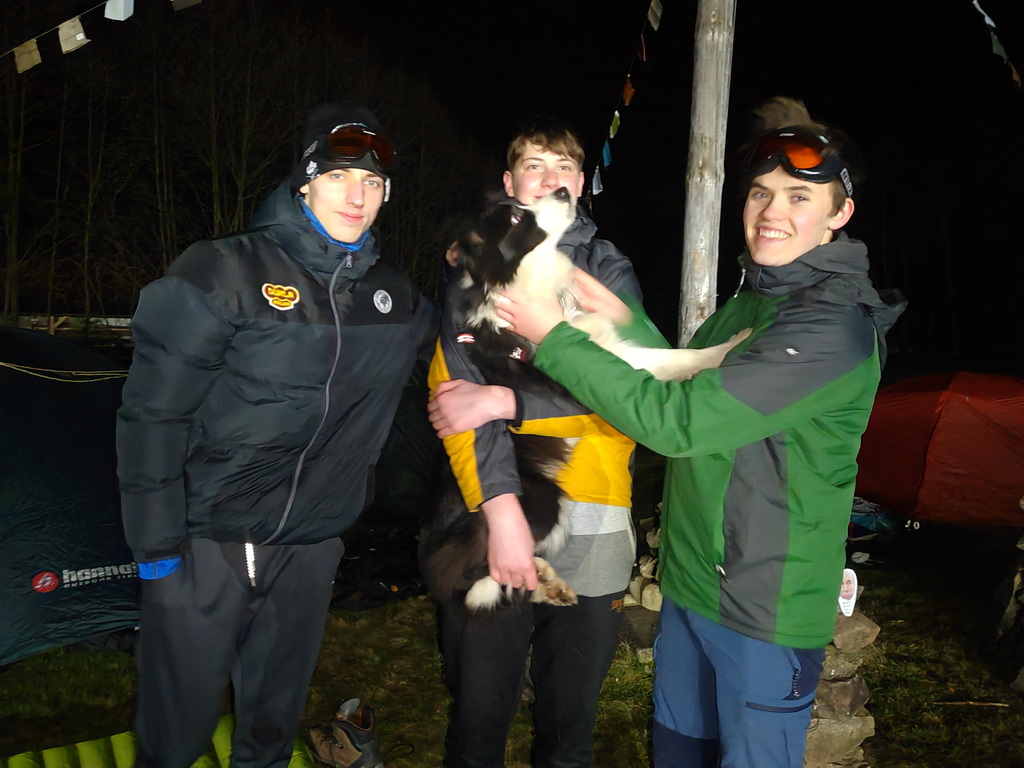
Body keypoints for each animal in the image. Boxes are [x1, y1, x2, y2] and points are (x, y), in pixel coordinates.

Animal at [419, 188, 749, 611]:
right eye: (516, 219)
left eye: (521, 205)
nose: (562, 191)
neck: (526, 285)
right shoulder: (590, 373)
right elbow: (673, 359)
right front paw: (731, 346)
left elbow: (665, 354)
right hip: (542, 501)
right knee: (483, 573)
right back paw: (545, 583)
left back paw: (552, 585)